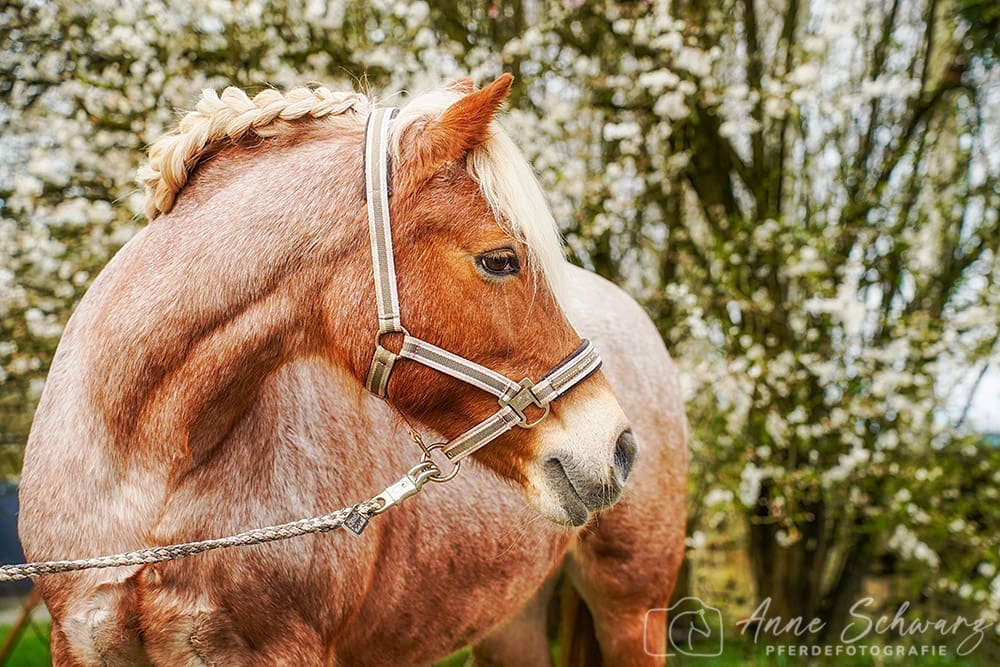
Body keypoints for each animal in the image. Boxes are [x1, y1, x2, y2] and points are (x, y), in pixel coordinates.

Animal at [17, 75, 688, 664]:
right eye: (500, 260)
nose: (618, 446)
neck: (143, 479)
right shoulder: (77, 644)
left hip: (633, 610)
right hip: (511, 621)